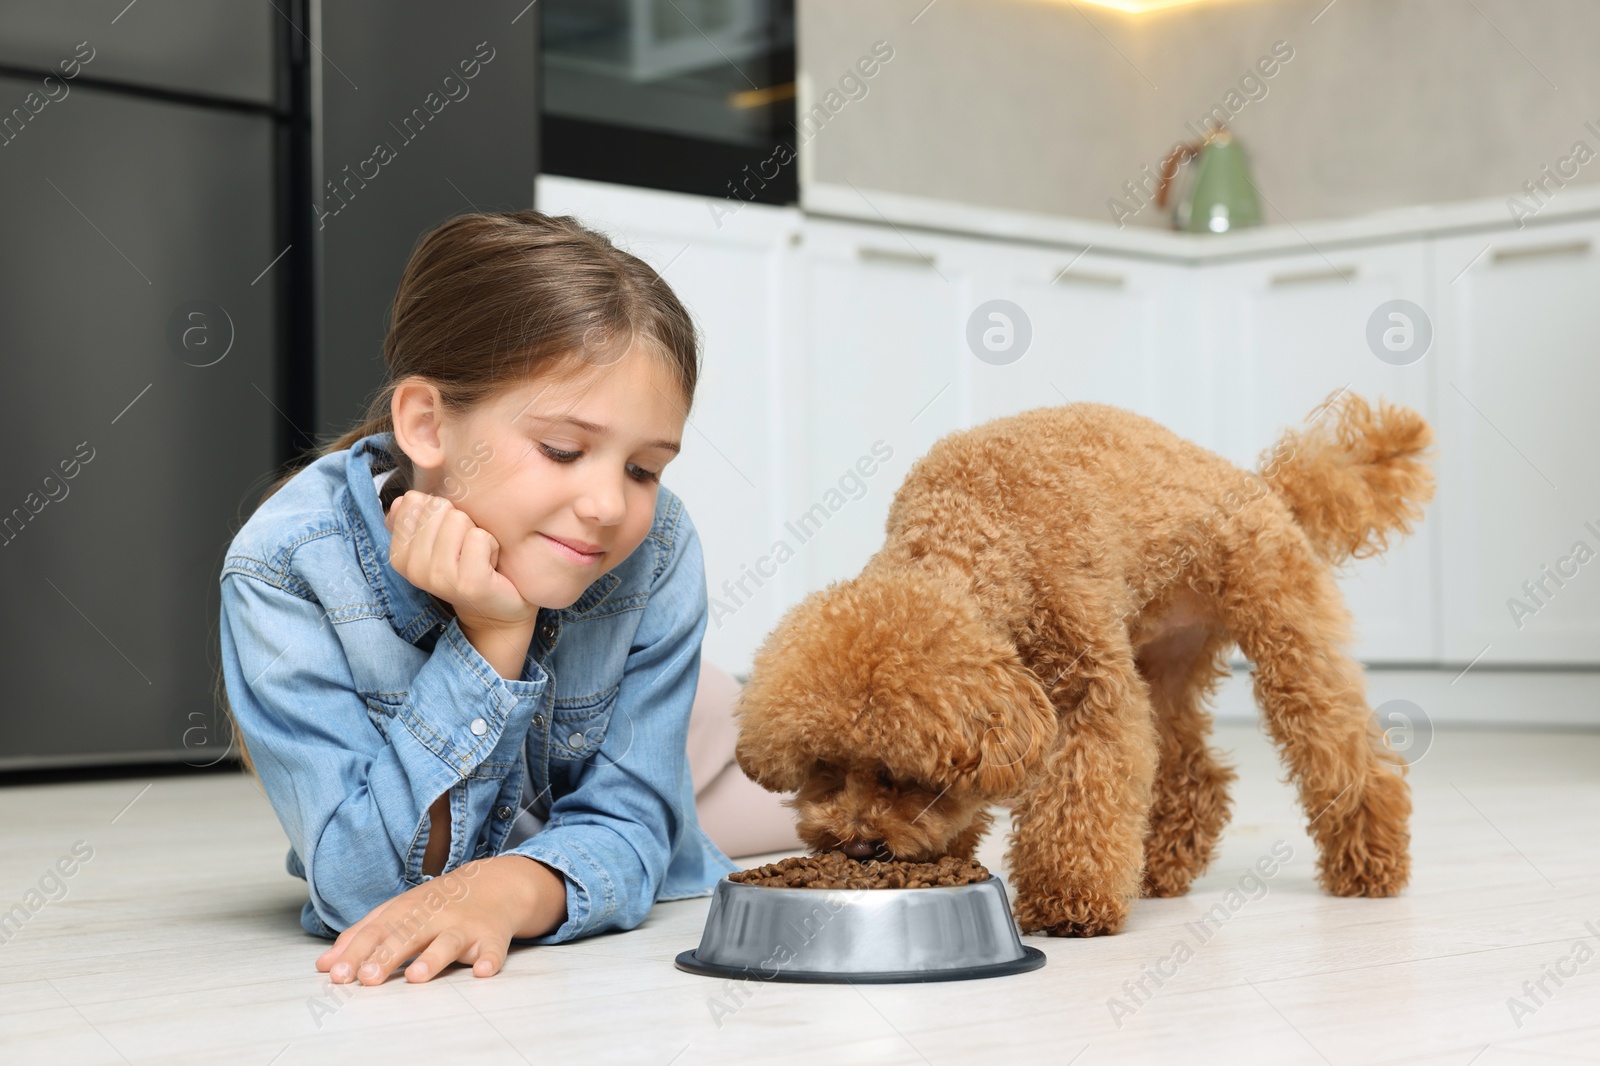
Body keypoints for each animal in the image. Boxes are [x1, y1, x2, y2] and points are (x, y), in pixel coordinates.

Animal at [732, 390, 1440, 928]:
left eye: (904, 775)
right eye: (824, 767)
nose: (859, 845)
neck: (977, 528)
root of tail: (1265, 484)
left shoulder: (1088, 689)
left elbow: (1082, 793)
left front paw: (1069, 901)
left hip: (1286, 638)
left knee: (1342, 750)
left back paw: (1369, 866)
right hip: (1164, 663)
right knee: (1194, 773)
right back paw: (1161, 867)